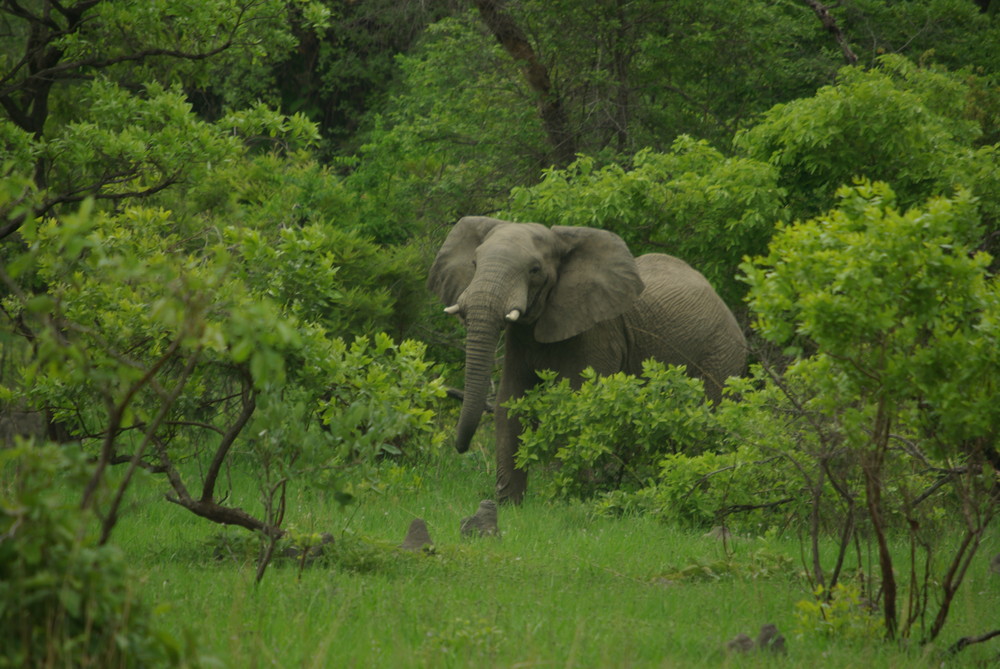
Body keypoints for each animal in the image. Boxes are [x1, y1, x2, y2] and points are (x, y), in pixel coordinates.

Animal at [426, 217, 748, 504]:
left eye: (534, 270)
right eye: (474, 264)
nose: (459, 447)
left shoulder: (598, 332)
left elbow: (577, 402)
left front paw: (574, 501)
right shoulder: (520, 338)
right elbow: (511, 400)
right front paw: (509, 504)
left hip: (721, 354)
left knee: (709, 422)